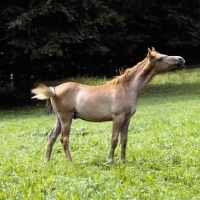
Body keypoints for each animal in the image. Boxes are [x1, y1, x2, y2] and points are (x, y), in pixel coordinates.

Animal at [31, 47, 186, 164]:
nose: (181, 59)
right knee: (64, 139)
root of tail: (54, 89)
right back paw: (70, 161)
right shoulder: (118, 118)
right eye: (160, 58)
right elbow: (114, 139)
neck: (127, 88)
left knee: (51, 137)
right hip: (66, 118)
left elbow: (124, 140)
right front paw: (110, 161)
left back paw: (47, 161)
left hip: (59, 119)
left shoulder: (127, 119)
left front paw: (123, 161)